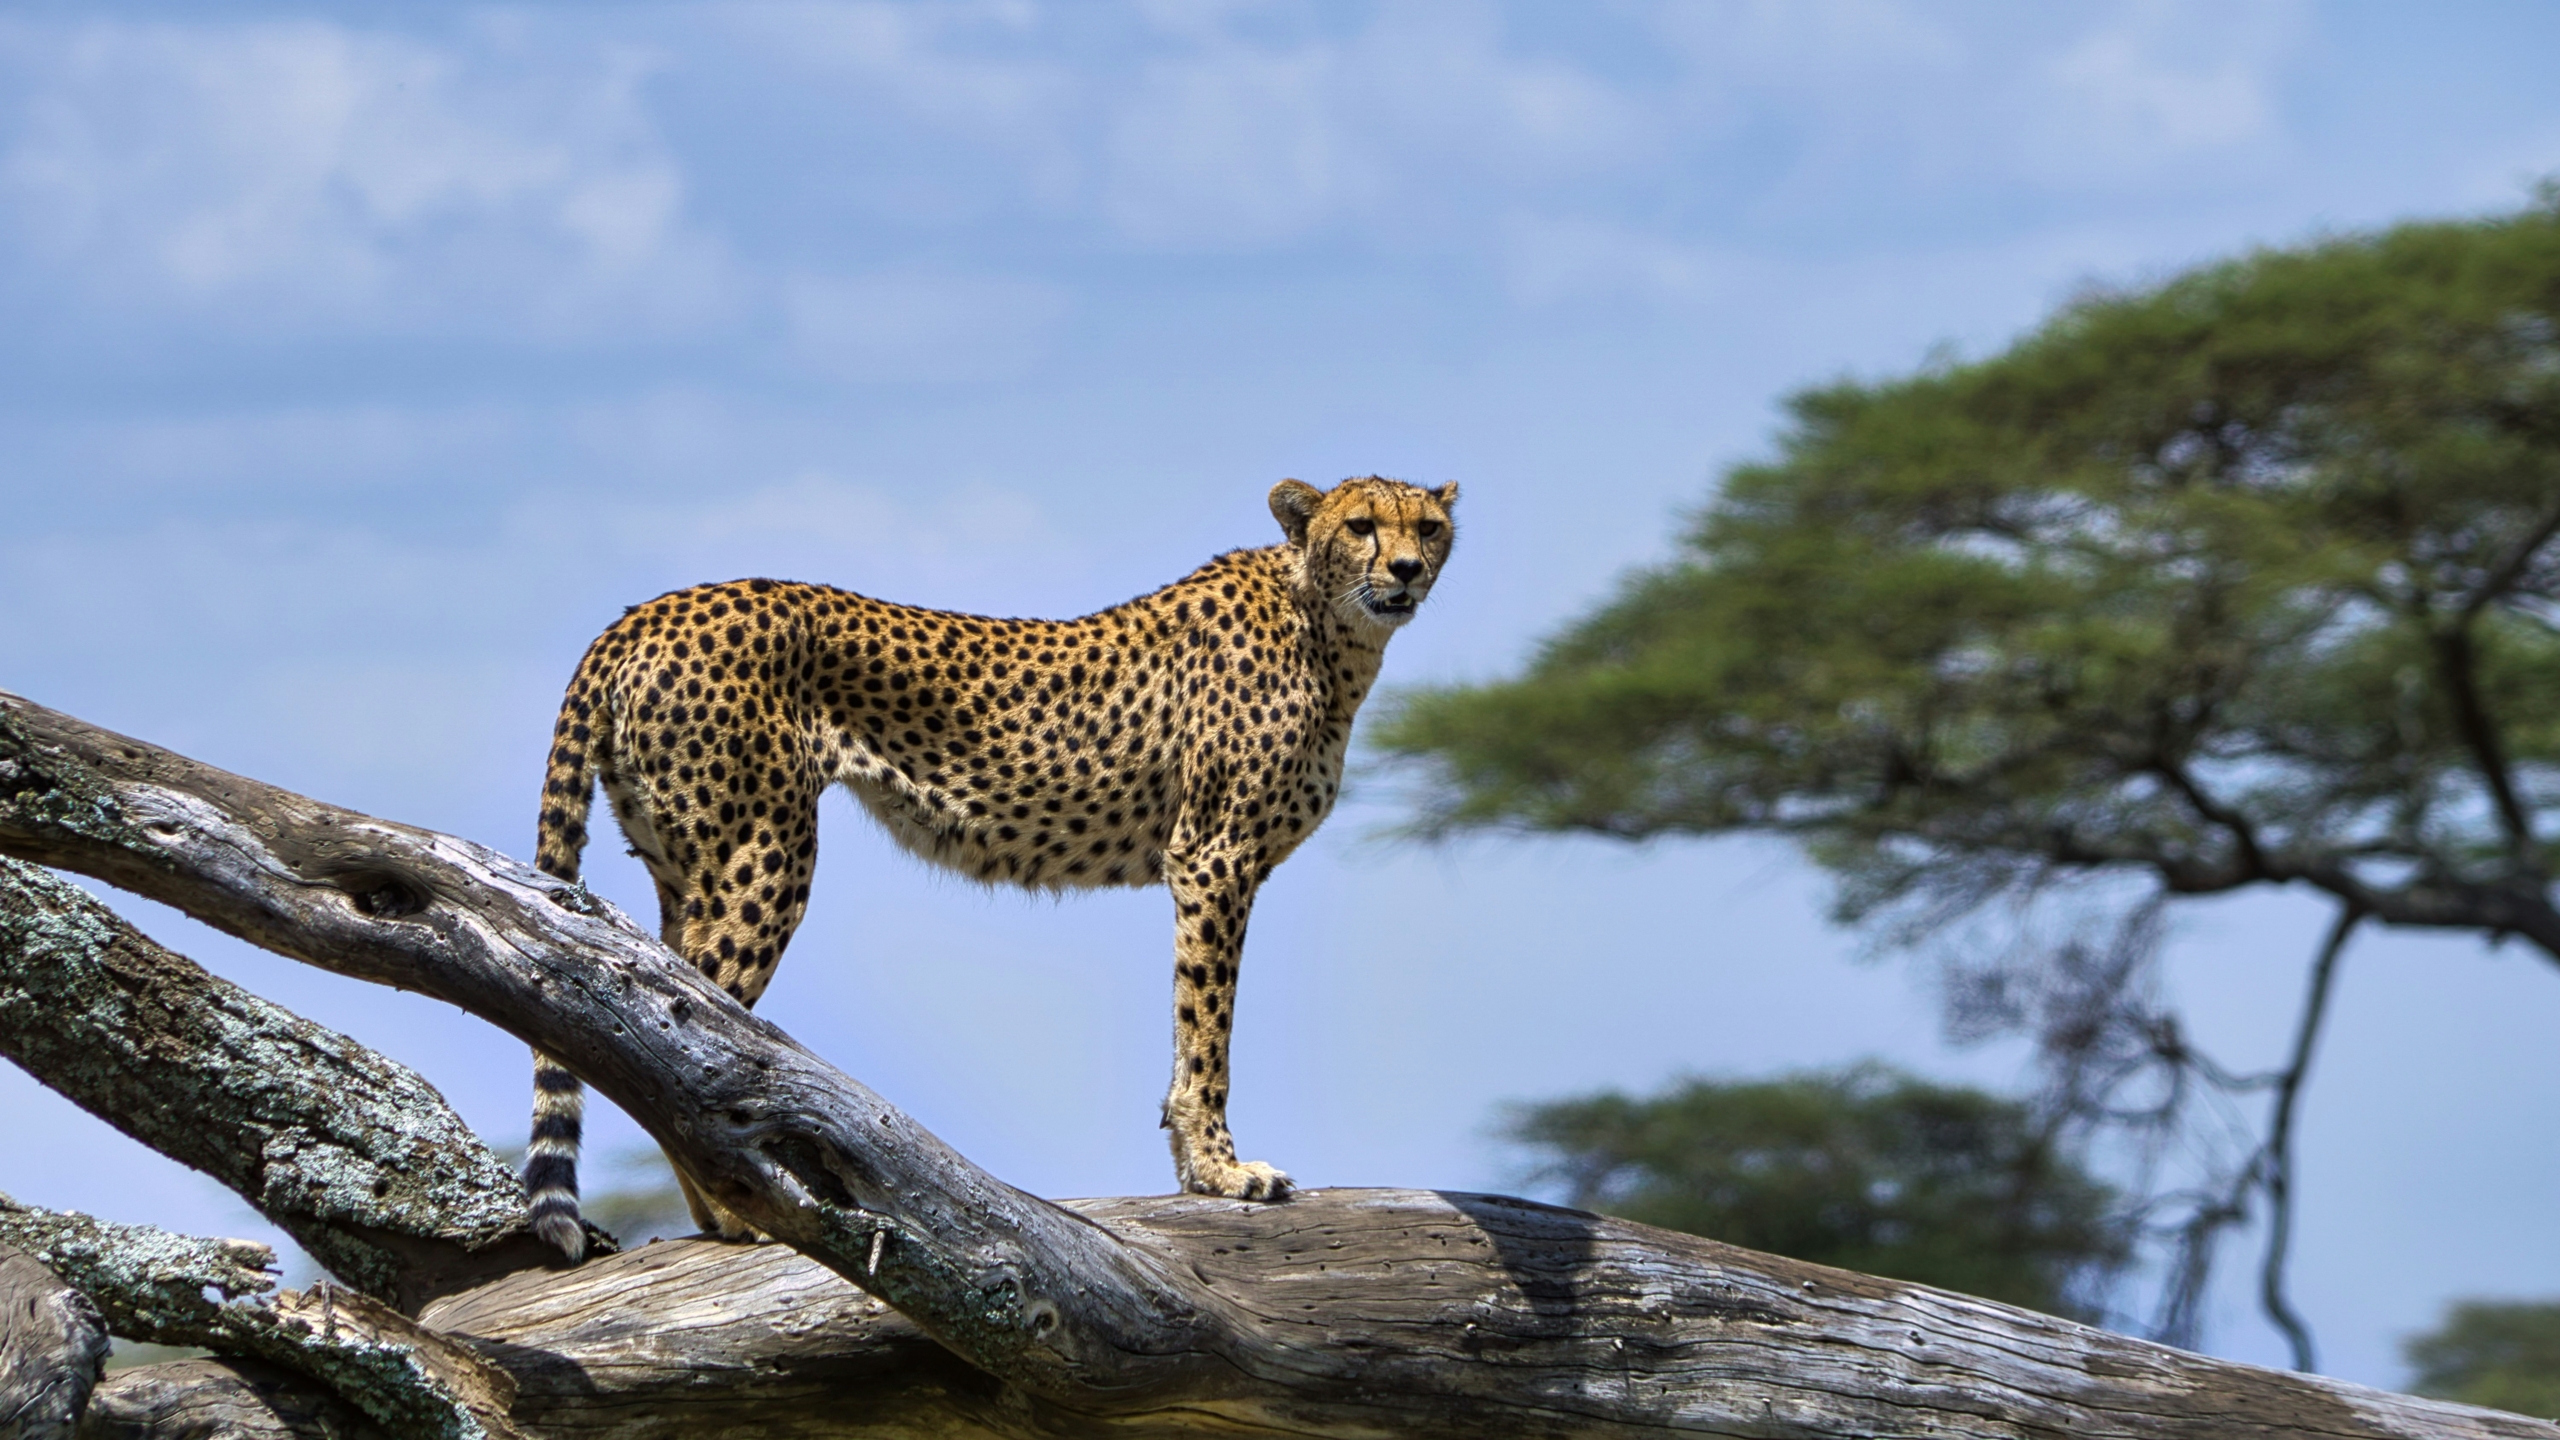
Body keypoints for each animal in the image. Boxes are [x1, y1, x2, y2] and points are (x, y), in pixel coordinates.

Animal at [522, 475, 1460, 1258]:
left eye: (1430, 527)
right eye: (1362, 525)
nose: (1408, 570)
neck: (1329, 626)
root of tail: (648, 611)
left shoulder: (1217, 865)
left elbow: (1189, 1030)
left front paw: (1197, 1174)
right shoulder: (1213, 858)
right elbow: (1207, 1031)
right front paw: (1225, 1174)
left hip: (685, 866)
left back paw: (720, 1215)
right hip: (763, 854)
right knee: (677, 1030)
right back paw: (737, 1217)